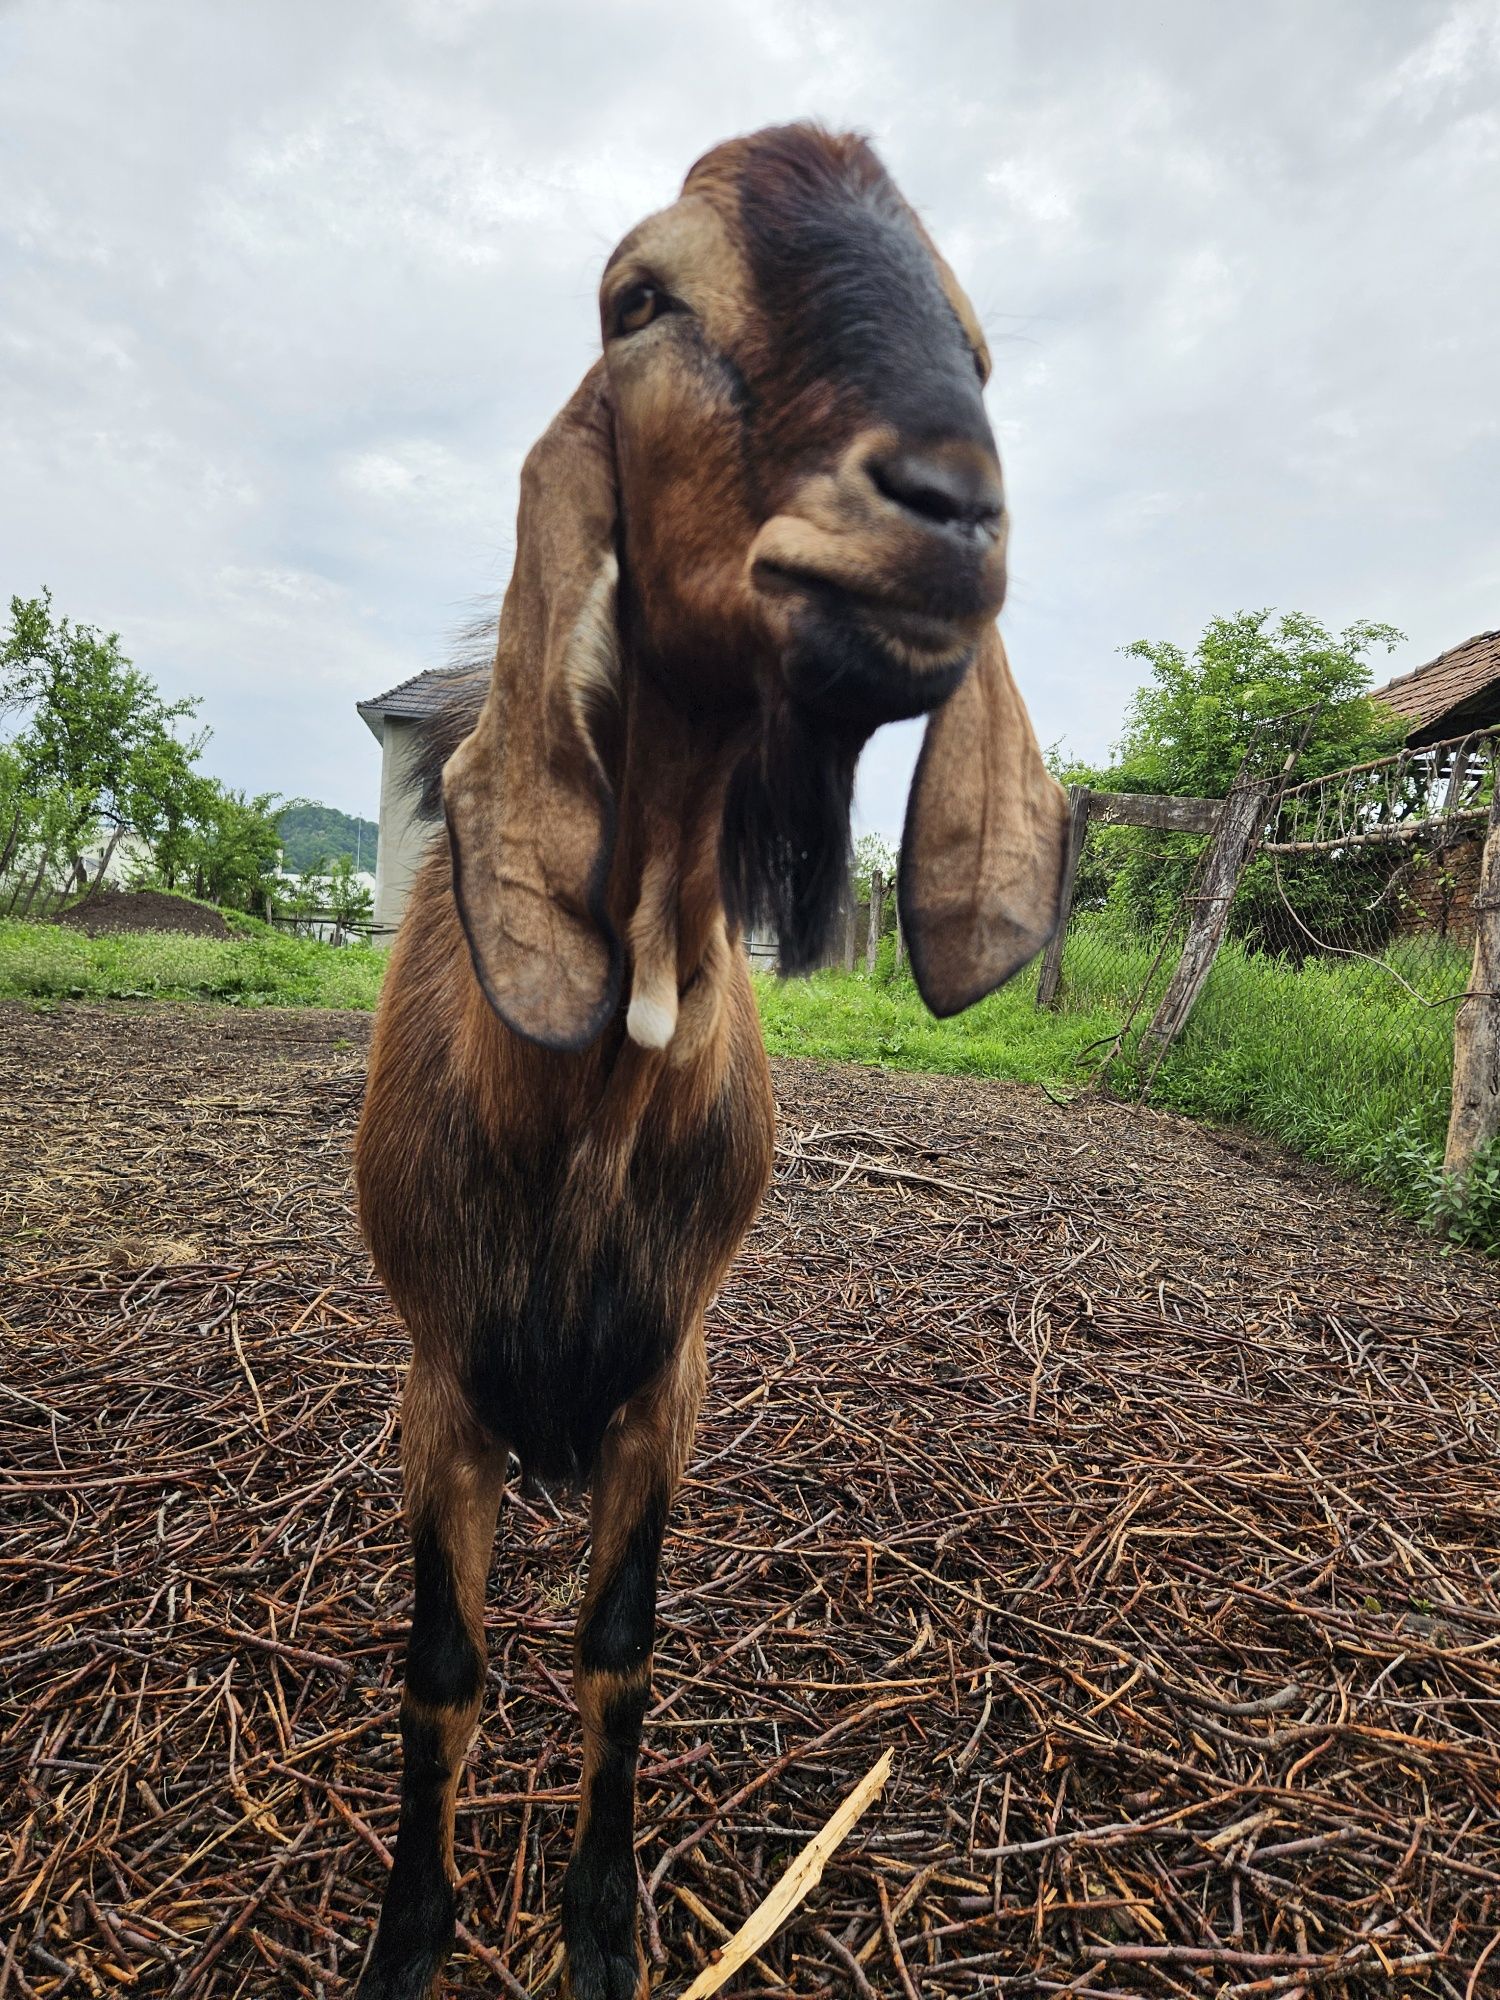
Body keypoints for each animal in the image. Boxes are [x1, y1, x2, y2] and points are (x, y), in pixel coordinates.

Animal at [352, 125, 1072, 2000]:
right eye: (642, 297)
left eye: (980, 344)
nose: (953, 511)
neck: (591, 1099)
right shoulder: (443, 1382)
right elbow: (443, 1671)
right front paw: (410, 1938)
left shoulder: (664, 1380)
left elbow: (619, 1649)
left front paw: (602, 1935)